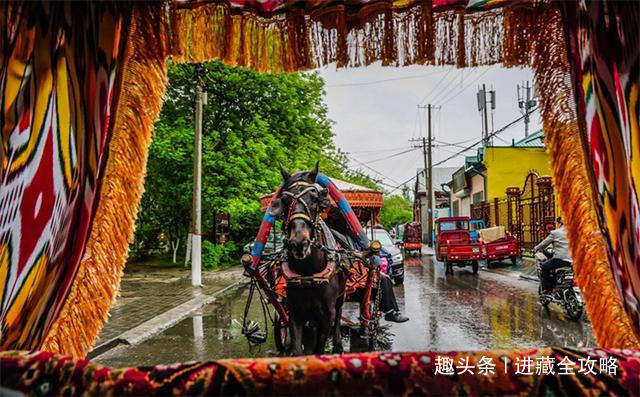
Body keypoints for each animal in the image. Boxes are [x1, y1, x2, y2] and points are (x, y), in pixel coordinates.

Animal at [272, 162, 348, 354]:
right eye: (284, 201)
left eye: (315, 199)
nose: (299, 243)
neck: (308, 273)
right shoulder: (294, 313)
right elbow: (298, 349)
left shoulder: (327, 315)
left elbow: (319, 349)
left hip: (341, 296)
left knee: (339, 314)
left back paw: (338, 343)